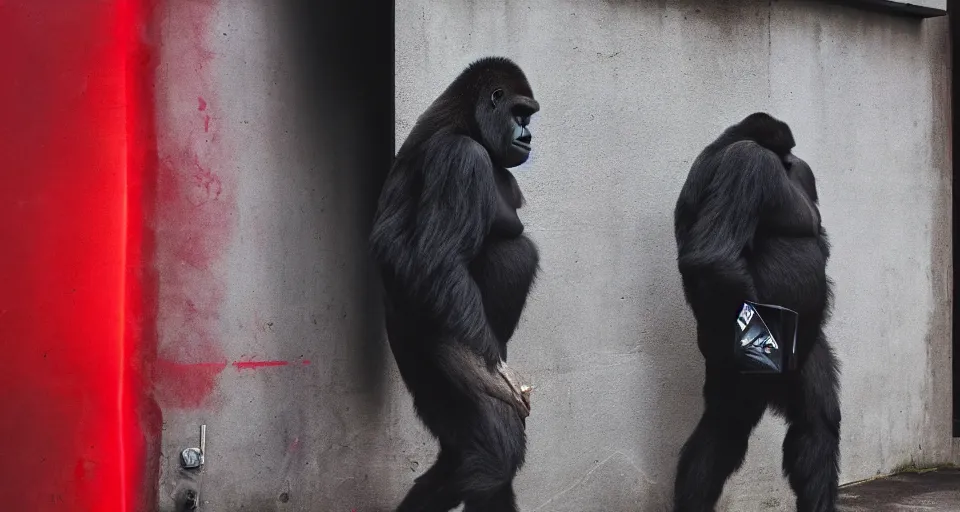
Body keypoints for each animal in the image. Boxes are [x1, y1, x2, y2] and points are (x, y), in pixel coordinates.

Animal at [370, 56, 540, 512]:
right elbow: (439, 262)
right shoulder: (461, 159)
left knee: (463, 452)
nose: (528, 135)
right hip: (440, 343)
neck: (467, 121)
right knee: (494, 450)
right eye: (520, 113)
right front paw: (496, 375)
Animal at [668, 113, 840, 512]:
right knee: (728, 423)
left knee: (813, 419)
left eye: (791, 159)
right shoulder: (748, 163)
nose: (790, 162)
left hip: (799, 344)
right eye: (781, 156)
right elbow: (712, 257)